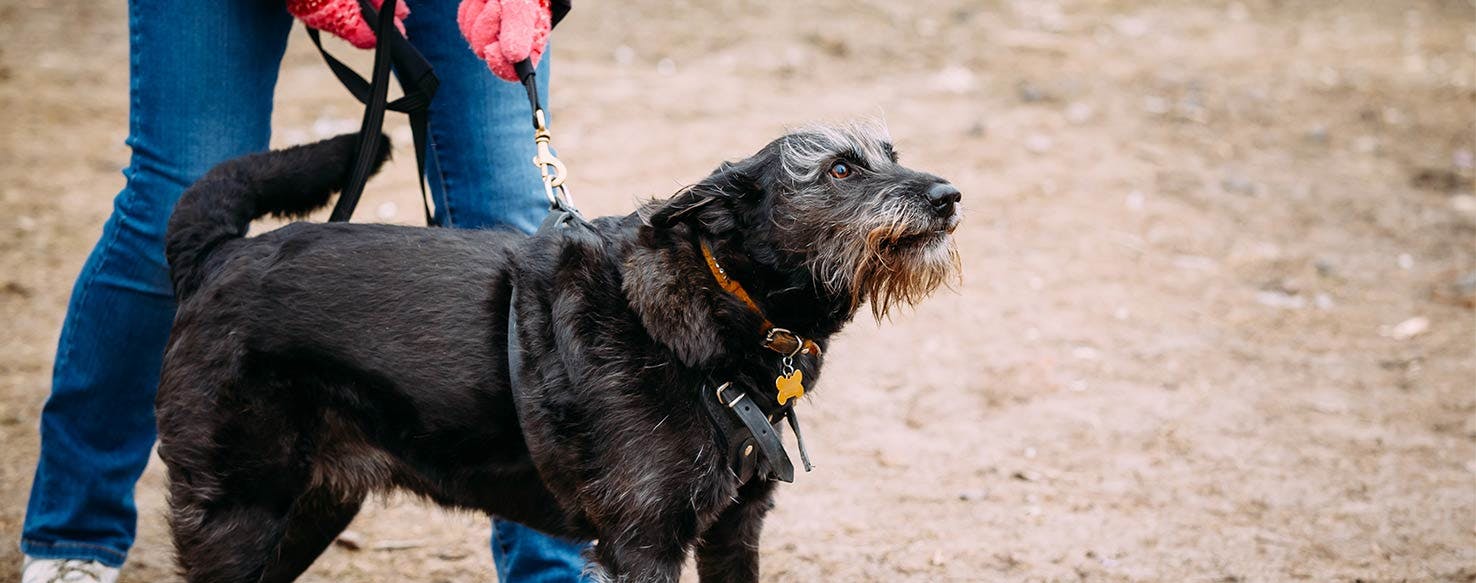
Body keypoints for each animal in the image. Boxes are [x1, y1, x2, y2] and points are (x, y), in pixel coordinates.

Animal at [158, 121, 968, 581]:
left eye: (892, 156)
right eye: (840, 169)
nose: (950, 195)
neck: (715, 307)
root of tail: (219, 256)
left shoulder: (734, 530)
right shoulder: (643, 543)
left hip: (310, 507)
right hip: (239, 510)